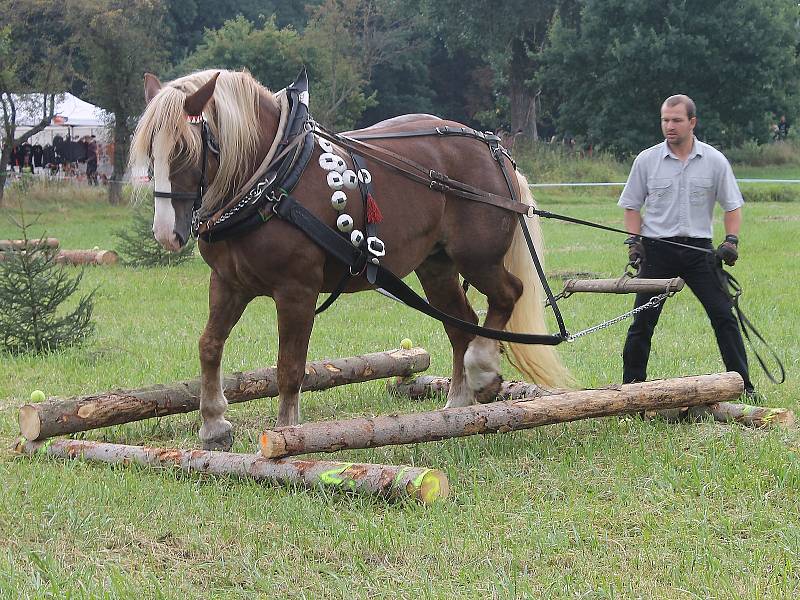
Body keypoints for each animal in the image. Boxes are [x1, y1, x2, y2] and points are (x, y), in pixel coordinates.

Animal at [131, 70, 568, 450]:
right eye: (150, 150)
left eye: (184, 149)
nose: (166, 233)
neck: (271, 179)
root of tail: (494, 150)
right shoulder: (228, 282)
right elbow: (209, 346)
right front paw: (214, 425)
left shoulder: (297, 290)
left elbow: (289, 367)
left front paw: (288, 435)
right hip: (436, 265)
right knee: (460, 325)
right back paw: (457, 406)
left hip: (478, 257)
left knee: (507, 295)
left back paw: (483, 369)